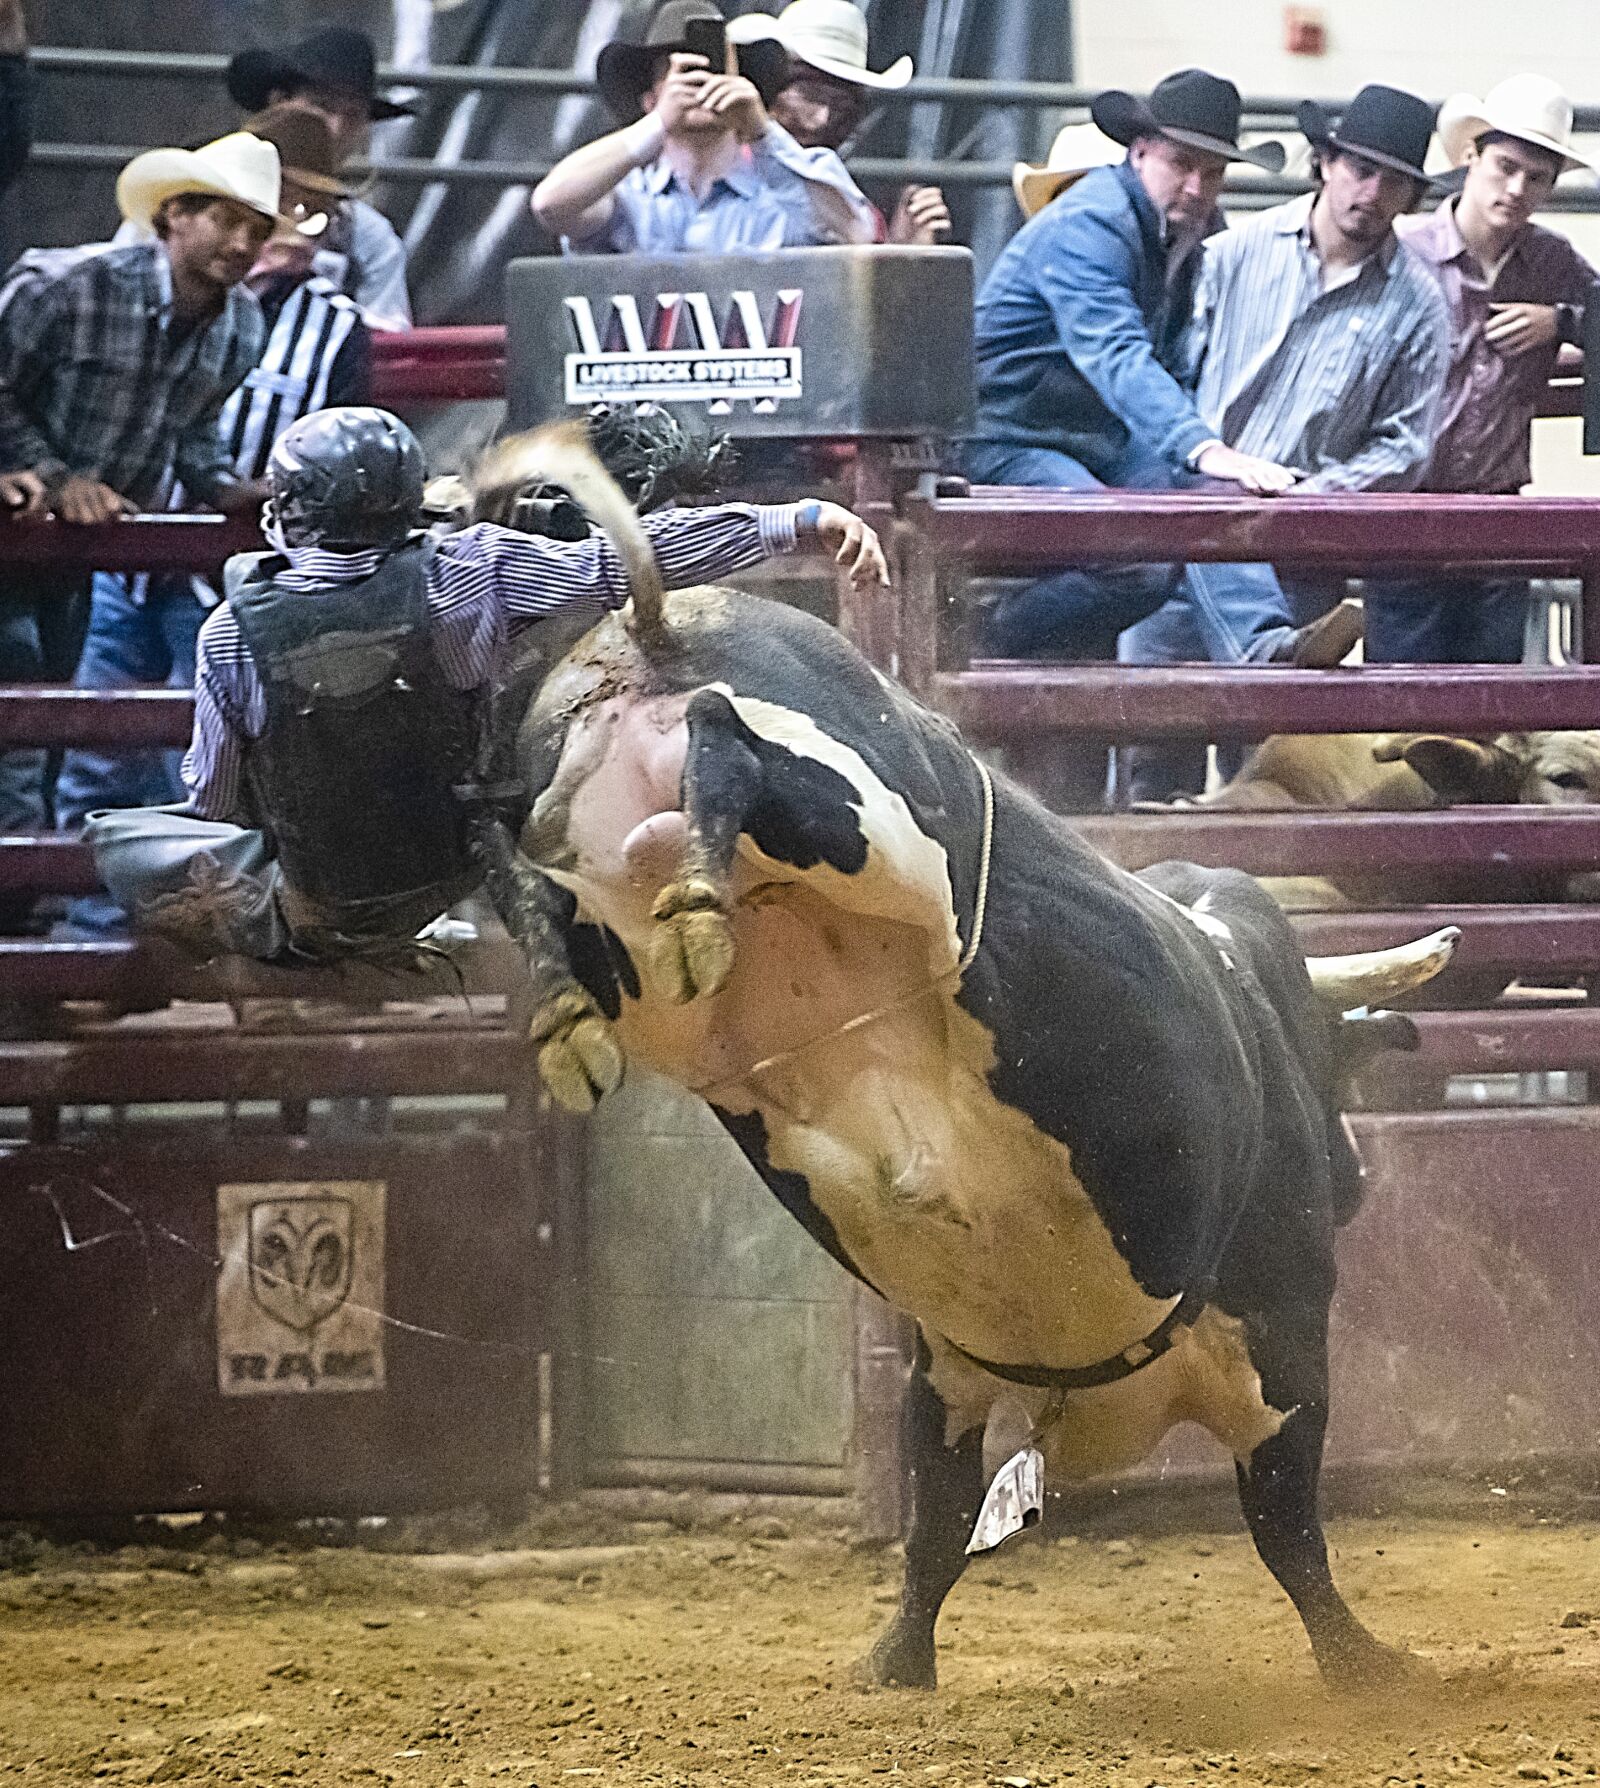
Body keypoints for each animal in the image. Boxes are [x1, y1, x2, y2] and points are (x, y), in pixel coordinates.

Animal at [457, 429, 1458, 1687]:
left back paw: (588, 987)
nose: (1358, 1177)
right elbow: (1288, 1531)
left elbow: (933, 1523)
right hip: (873, 835)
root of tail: (659, 627)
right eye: (1328, 1080)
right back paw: (695, 857)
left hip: (625, 940)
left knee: (515, 851)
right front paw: (1370, 1668)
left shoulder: (942, 1374)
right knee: (728, 746)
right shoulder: (1283, 1345)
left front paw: (891, 1668)